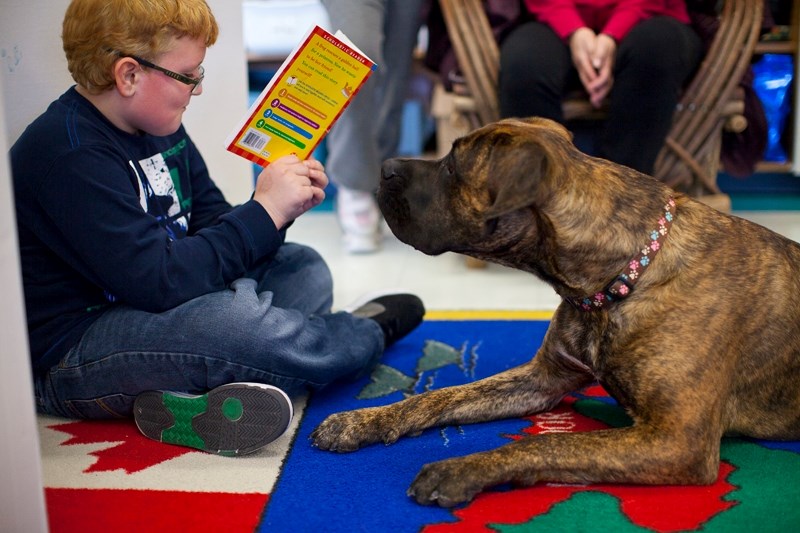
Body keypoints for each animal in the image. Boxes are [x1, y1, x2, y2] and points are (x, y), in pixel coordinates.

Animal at [308, 117, 800, 508]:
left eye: (452, 167)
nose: (385, 167)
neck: (622, 277)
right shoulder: (543, 379)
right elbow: (439, 396)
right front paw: (362, 420)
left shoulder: (678, 440)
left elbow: (555, 444)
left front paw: (458, 468)